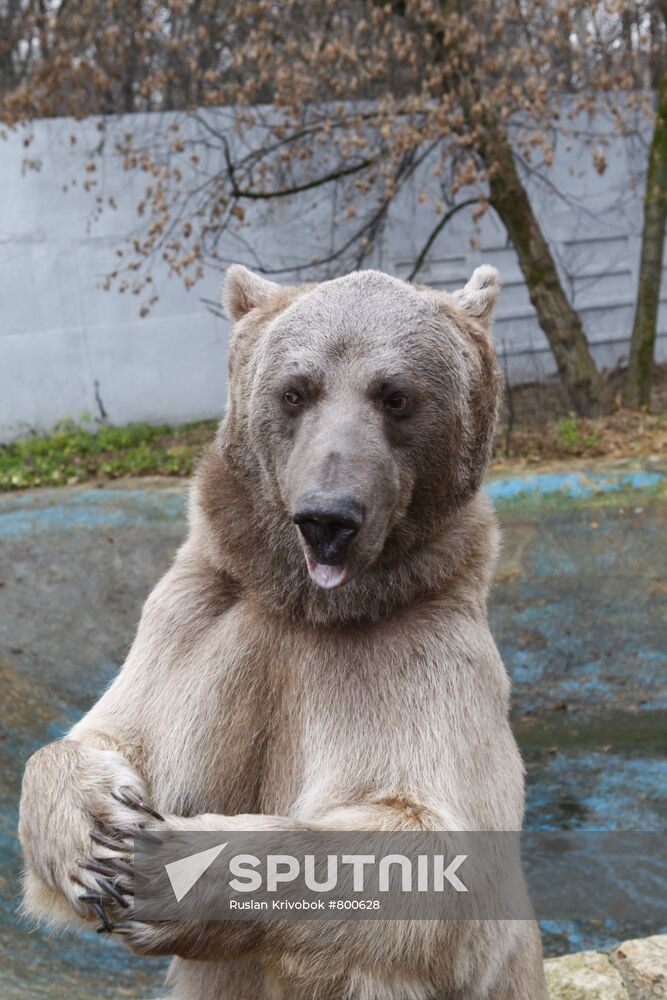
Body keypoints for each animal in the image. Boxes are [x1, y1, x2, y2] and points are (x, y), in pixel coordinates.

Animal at [18, 266, 548, 1000]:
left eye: (397, 396)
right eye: (295, 389)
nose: (329, 518)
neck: (308, 605)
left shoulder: (417, 656)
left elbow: (429, 844)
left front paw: (158, 867)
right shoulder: (200, 616)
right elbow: (110, 734)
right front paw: (100, 840)